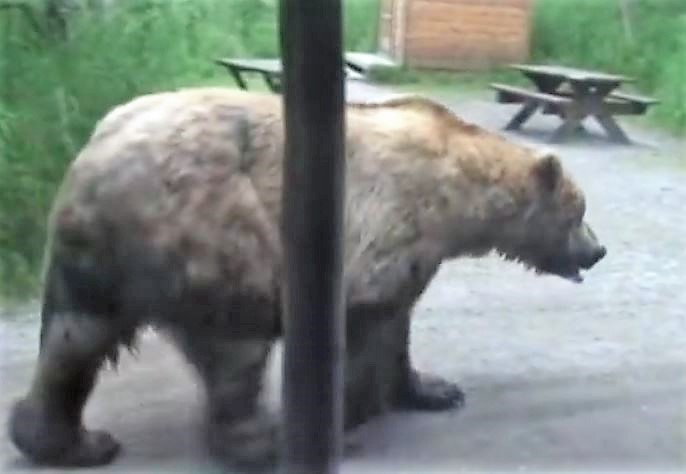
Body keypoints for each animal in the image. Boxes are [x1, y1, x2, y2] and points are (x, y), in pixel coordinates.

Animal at [5, 88, 608, 470]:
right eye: (577, 211)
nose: (598, 250)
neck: (458, 197)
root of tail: (95, 156)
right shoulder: (385, 226)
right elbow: (365, 323)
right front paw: (351, 413)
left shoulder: (413, 254)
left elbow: (399, 327)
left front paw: (434, 389)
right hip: (215, 226)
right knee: (236, 344)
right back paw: (262, 439)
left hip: (94, 261)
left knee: (73, 341)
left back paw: (70, 441)